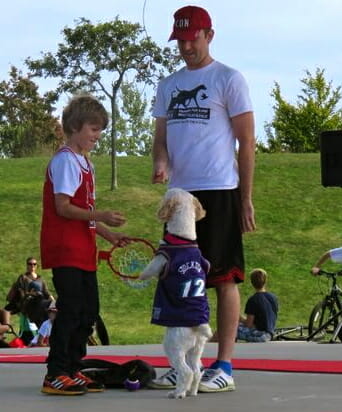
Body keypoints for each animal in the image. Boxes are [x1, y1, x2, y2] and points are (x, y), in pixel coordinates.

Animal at [140, 188, 212, 398]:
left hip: (173, 345)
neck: (184, 237)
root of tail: (197, 326)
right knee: (196, 370)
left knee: (186, 371)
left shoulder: (158, 263)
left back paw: (178, 393)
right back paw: (191, 391)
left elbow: (146, 272)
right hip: (196, 348)